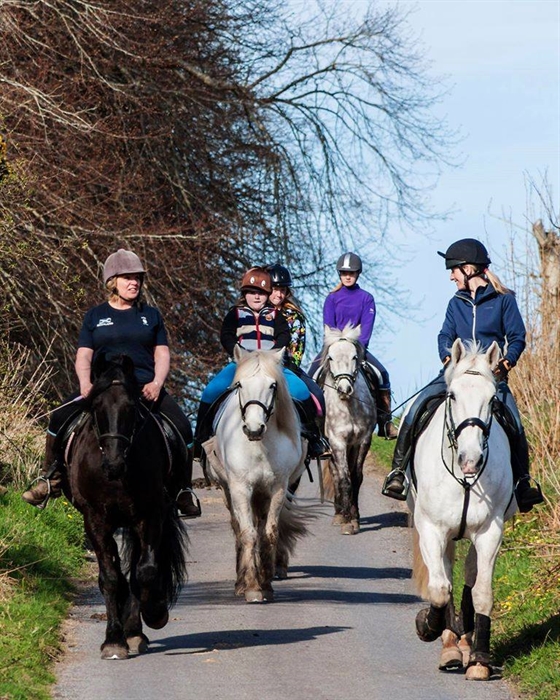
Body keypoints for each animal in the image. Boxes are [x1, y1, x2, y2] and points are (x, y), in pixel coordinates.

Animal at [65, 353, 188, 660]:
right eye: (97, 406)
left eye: (131, 407)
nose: (113, 464)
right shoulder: (95, 520)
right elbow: (110, 577)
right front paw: (113, 640)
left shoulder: (149, 515)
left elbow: (144, 572)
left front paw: (154, 614)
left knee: (137, 570)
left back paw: (136, 630)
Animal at [204, 346, 308, 602]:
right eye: (240, 385)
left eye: (273, 385)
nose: (253, 429)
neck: (259, 445)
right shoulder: (240, 488)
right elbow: (248, 533)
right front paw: (251, 587)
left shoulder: (278, 488)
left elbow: (268, 533)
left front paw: (266, 584)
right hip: (229, 490)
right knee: (238, 528)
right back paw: (241, 581)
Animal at [317, 324, 377, 535]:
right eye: (330, 358)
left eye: (354, 357)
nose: (344, 389)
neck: (348, 405)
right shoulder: (337, 442)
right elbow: (344, 479)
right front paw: (346, 521)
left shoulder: (362, 440)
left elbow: (356, 477)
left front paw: (354, 519)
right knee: (336, 475)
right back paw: (338, 514)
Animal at [410, 339, 517, 681]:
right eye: (453, 395)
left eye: (492, 399)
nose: (471, 460)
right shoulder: (432, 529)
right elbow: (440, 589)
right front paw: (428, 626)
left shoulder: (490, 531)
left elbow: (482, 591)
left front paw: (480, 658)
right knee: (445, 576)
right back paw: (450, 646)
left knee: (469, 575)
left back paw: (466, 642)